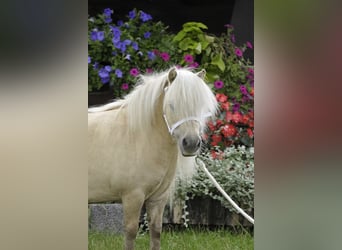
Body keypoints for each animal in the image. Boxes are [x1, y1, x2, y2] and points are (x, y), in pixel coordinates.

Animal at [88, 67, 216, 250]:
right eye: (171, 104)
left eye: (200, 106)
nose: (191, 143)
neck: (138, 136)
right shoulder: (133, 197)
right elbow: (131, 233)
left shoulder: (158, 199)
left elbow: (155, 232)